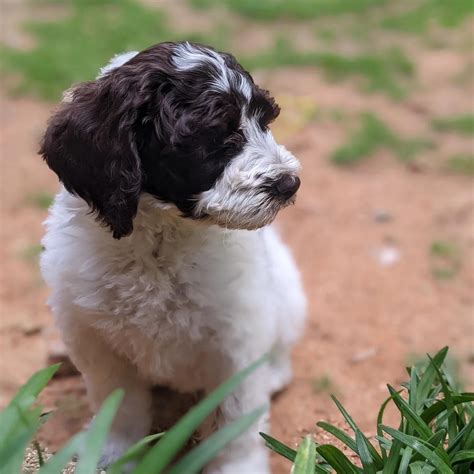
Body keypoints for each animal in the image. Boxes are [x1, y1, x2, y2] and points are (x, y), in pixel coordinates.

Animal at [41, 42, 308, 472]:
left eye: (264, 121)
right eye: (217, 136)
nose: (289, 183)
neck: (162, 243)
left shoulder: (238, 341)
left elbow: (236, 418)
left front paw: (237, 466)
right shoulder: (95, 340)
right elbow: (119, 405)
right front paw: (117, 453)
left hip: (287, 296)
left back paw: (276, 372)